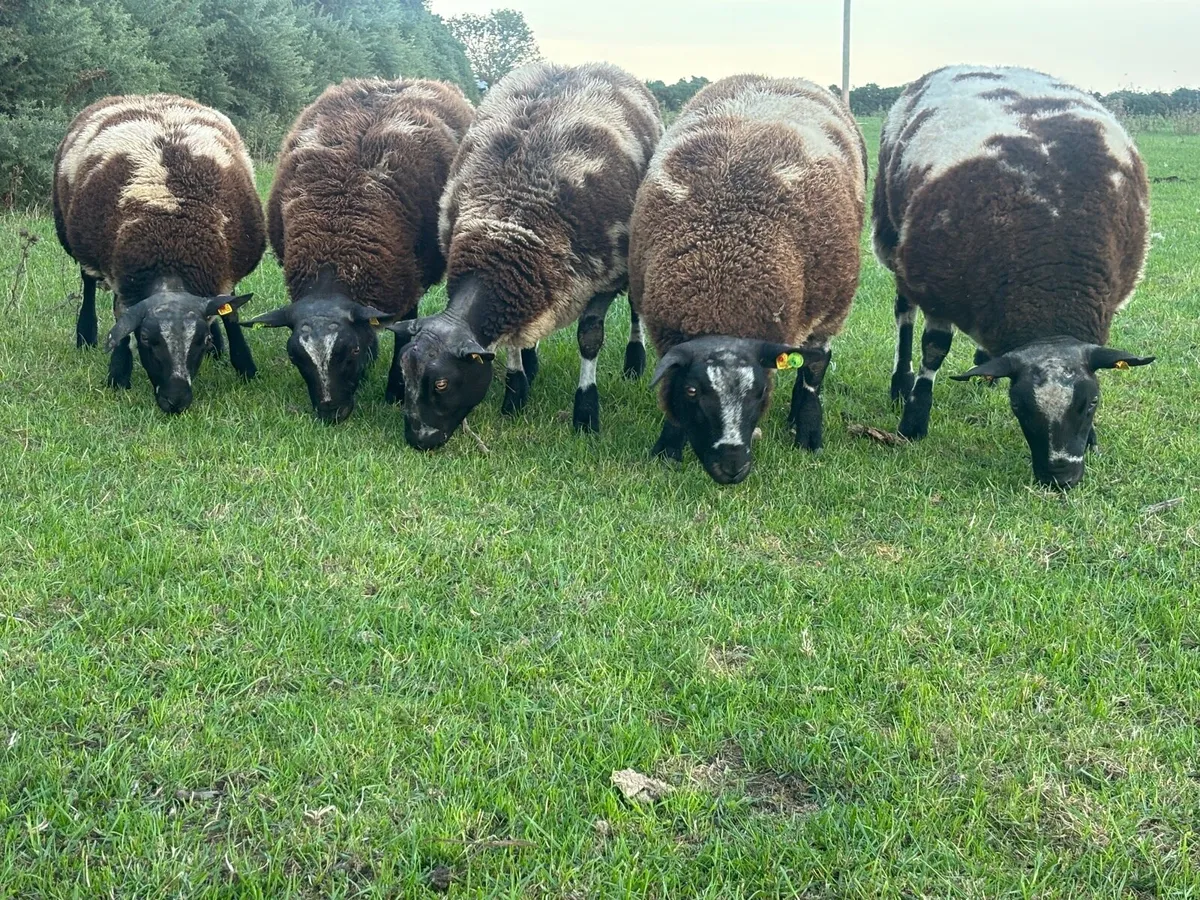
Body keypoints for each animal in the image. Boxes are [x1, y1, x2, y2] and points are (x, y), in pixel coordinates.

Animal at [53, 93, 265, 413]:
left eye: (200, 341)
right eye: (145, 339)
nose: (175, 400)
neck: (172, 246)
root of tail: (145, 95)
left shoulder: (224, 267)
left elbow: (229, 314)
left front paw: (243, 364)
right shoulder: (124, 274)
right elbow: (121, 319)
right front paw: (118, 374)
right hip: (75, 236)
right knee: (88, 283)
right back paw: (85, 335)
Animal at [242, 78, 475, 424]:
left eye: (350, 352)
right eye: (294, 356)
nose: (331, 413)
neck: (334, 245)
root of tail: (394, 80)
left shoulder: (407, 279)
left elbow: (403, 333)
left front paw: (394, 391)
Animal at [393, 61, 663, 450]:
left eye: (442, 383)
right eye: (404, 375)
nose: (419, 440)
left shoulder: (604, 278)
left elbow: (589, 339)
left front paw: (586, 412)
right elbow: (512, 338)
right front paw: (515, 394)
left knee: (634, 311)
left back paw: (633, 362)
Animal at [629, 75, 868, 485]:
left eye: (759, 392)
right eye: (692, 391)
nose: (732, 467)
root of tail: (776, 78)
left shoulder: (827, 308)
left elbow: (814, 369)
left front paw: (809, 435)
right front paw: (667, 449)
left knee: (814, 362)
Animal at [874, 65, 1153, 488]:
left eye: (1091, 402)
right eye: (1018, 406)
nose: (1061, 477)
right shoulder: (935, 285)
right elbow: (934, 350)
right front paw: (914, 422)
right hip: (894, 239)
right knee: (904, 315)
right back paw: (900, 383)